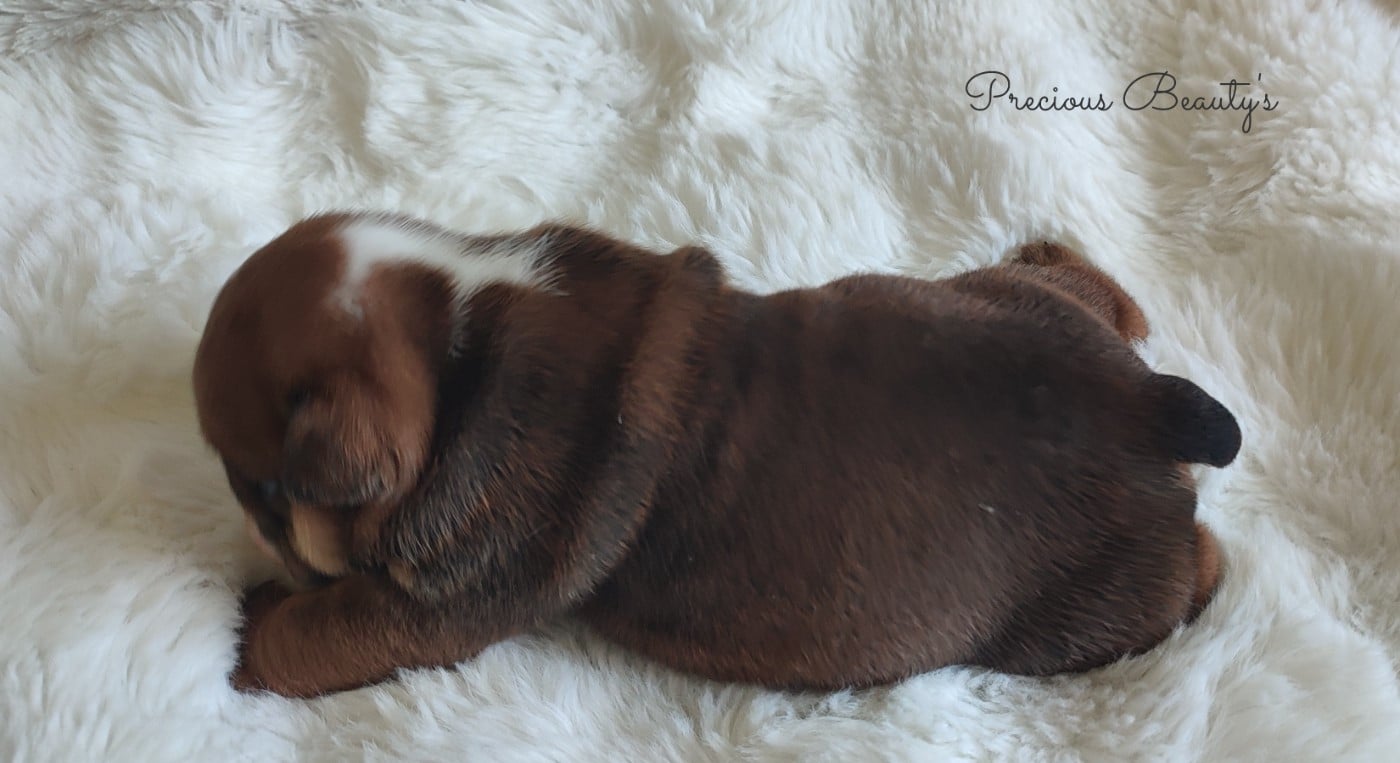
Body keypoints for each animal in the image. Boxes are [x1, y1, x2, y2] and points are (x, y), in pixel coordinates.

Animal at [192, 212, 1240, 698]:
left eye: (263, 487)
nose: (246, 519)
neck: (453, 335)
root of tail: (1147, 411)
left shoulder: (446, 594)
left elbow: (319, 632)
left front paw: (252, 631)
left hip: (1079, 621)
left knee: (1198, 571)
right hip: (1015, 303)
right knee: (1091, 293)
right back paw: (1048, 253)